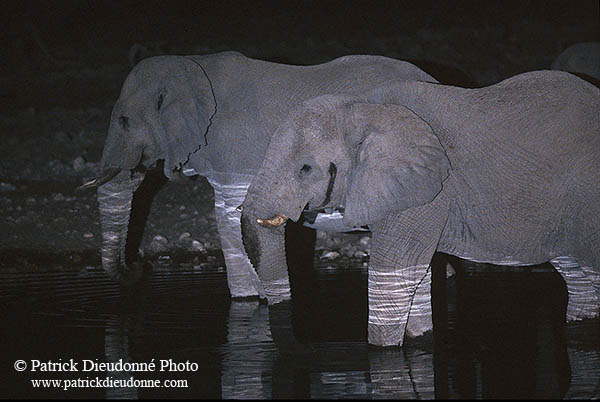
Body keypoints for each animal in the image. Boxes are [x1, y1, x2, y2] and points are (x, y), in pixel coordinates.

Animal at [82, 51, 438, 298]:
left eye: (124, 121)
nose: (141, 266)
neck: (193, 66)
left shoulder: (237, 153)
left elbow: (231, 216)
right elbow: (227, 218)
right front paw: (248, 300)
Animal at [240, 70, 600, 348]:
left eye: (305, 169)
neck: (365, 107)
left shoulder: (428, 191)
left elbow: (393, 274)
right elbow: (415, 277)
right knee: (578, 277)